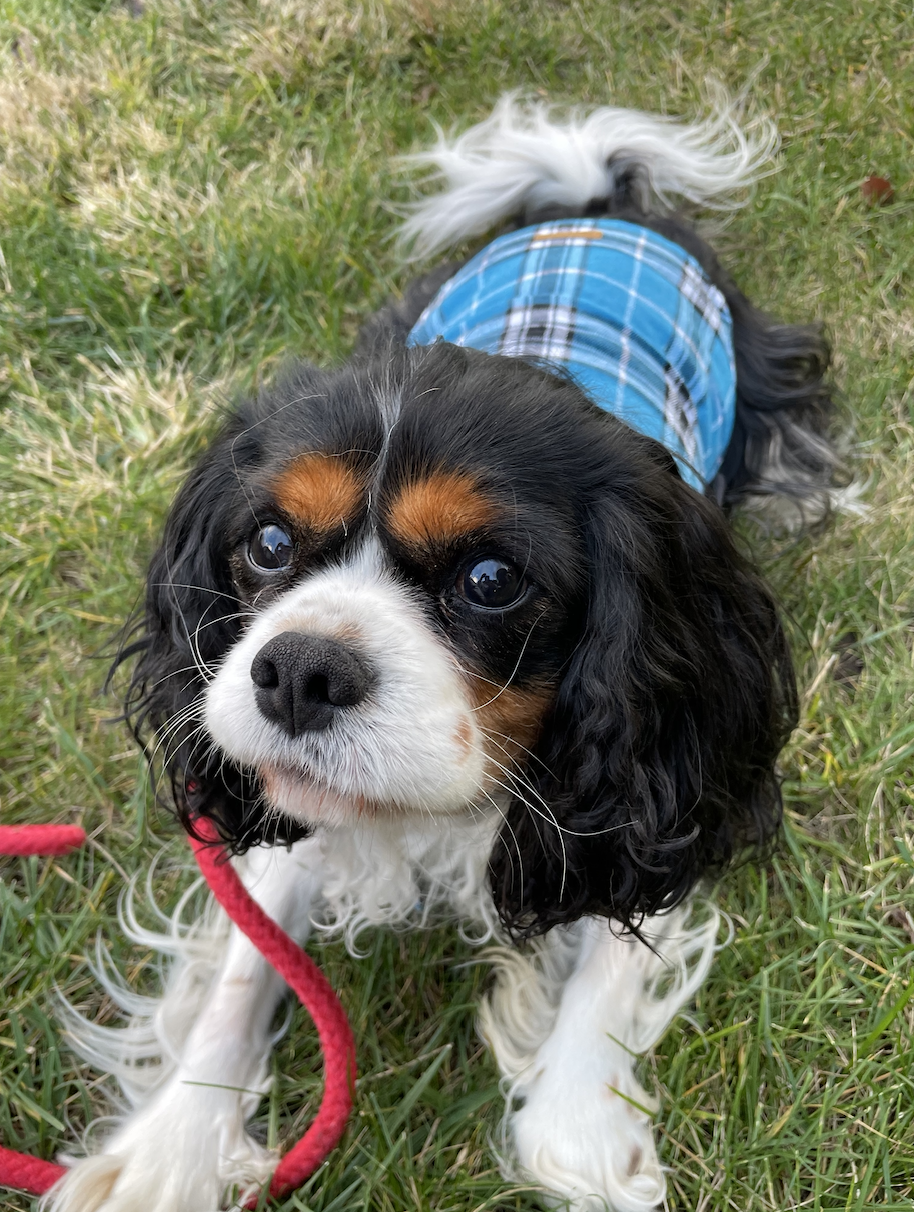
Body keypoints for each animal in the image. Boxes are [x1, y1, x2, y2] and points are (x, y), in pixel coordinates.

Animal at [48, 99, 833, 1212]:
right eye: (268, 543)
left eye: (491, 579)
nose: (298, 670)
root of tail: (598, 205)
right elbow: (246, 959)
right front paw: (173, 1150)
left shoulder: (667, 770)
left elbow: (615, 948)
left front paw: (584, 1131)